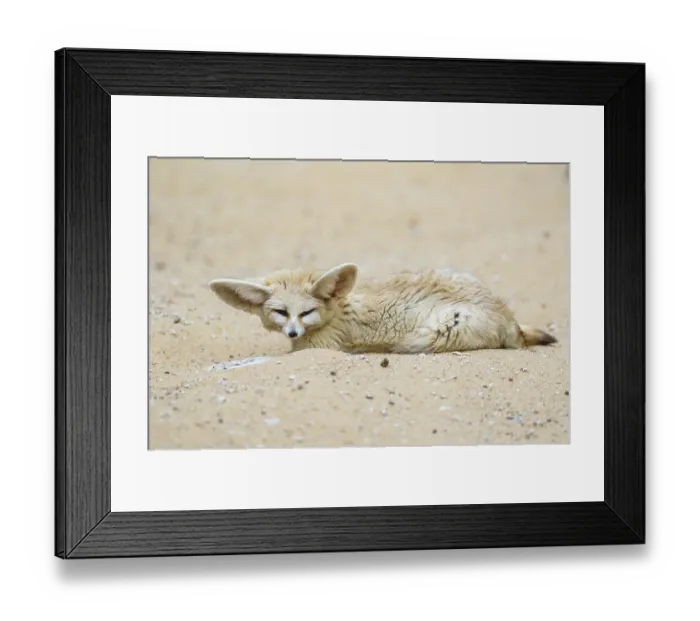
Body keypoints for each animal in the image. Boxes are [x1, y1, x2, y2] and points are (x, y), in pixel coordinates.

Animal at [209, 263, 557, 355]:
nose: (293, 332)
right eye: (281, 313)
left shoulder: (320, 346)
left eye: (306, 313)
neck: (338, 310)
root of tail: (509, 318)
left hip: (431, 335)